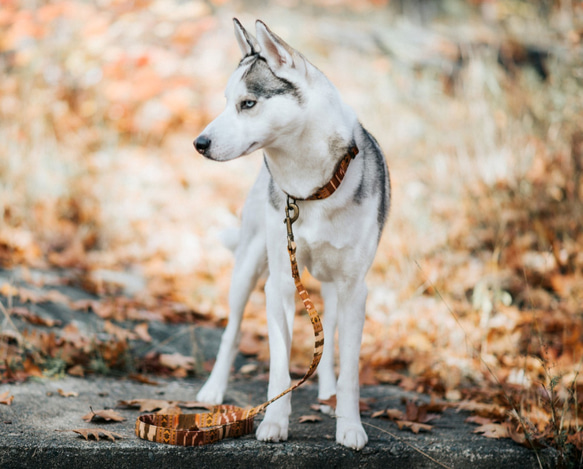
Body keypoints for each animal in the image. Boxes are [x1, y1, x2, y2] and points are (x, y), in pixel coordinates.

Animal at [194, 19, 390, 450]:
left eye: (248, 103)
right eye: (226, 101)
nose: (199, 143)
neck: (313, 189)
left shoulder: (355, 289)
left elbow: (350, 369)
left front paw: (350, 424)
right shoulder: (281, 283)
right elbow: (280, 367)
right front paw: (274, 421)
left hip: (331, 289)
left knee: (328, 341)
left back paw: (328, 394)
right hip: (248, 267)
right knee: (231, 332)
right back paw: (213, 389)